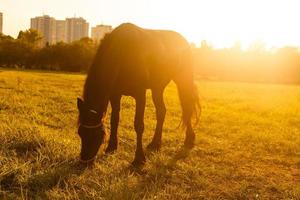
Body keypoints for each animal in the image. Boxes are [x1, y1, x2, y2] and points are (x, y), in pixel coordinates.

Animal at [76, 22, 200, 166]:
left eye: (97, 134)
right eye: (80, 132)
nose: (84, 161)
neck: (123, 50)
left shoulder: (140, 94)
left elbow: (139, 125)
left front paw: (139, 158)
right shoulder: (115, 94)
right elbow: (114, 119)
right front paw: (111, 147)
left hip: (183, 79)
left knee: (187, 107)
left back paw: (189, 139)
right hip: (157, 87)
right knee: (162, 111)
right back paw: (155, 143)